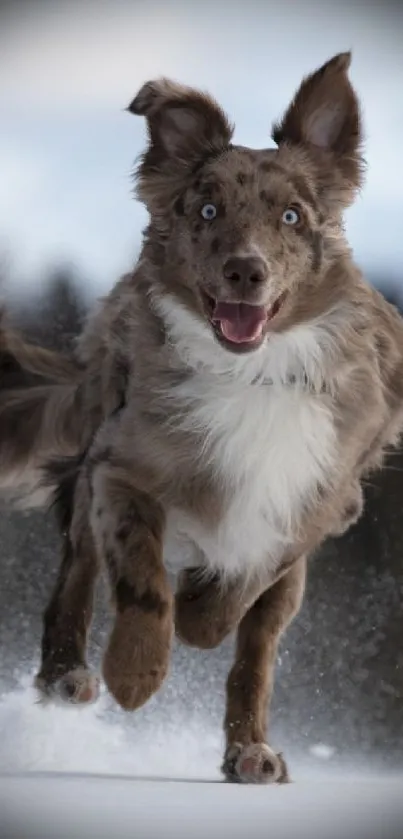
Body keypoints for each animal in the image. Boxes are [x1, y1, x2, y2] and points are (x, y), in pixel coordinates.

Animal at [0, 54, 403, 788]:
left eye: (292, 215)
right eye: (208, 209)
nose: (245, 271)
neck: (254, 371)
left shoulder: (315, 504)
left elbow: (239, 592)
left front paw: (200, 612)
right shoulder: (120, 470)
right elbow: (139, 579)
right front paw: (134, 673)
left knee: (255, 658)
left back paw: (250, 750)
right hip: (90, 469)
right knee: (76, 576)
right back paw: (67, 674)